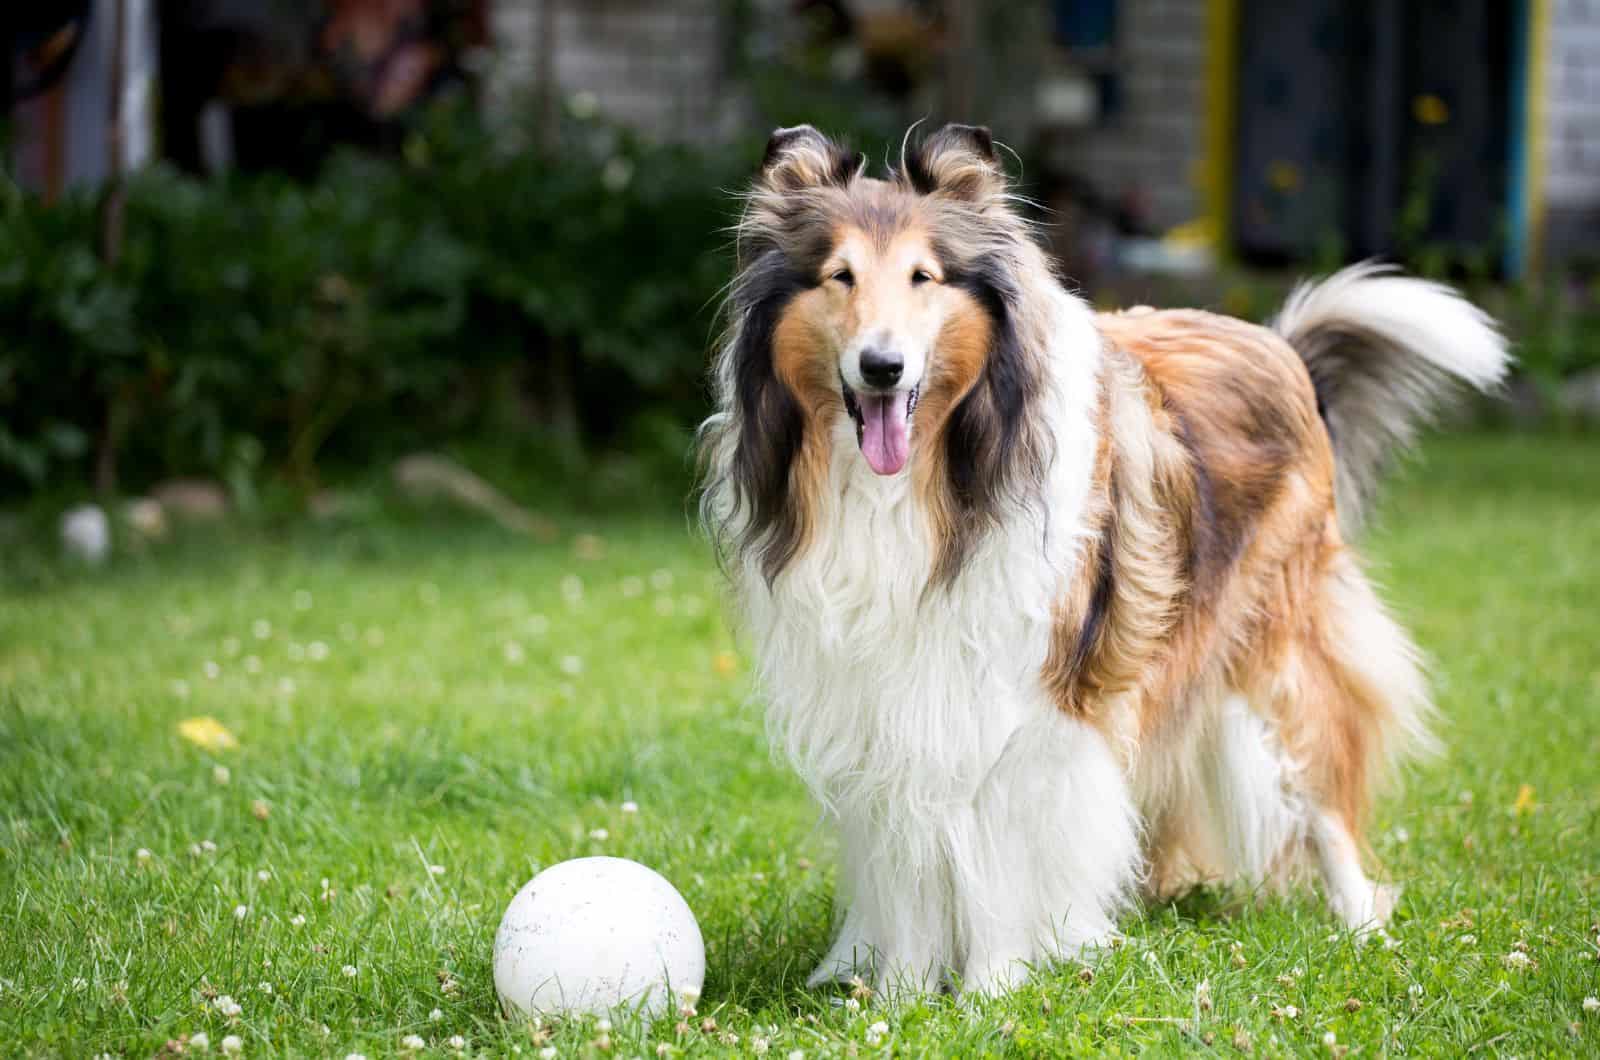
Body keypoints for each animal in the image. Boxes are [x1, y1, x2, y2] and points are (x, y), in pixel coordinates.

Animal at [697, 124, 1497, 999]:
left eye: (923, 277)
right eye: (838, 276)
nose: (883, 367)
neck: (925, 484)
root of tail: (1280, 346)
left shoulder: (1028, 701)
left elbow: (1004, 850)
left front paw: (993, 985)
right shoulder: (888, 698)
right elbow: (903, 851)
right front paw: (902, 993)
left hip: (1277, 650)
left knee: (1325, 779)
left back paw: (1358, 923)